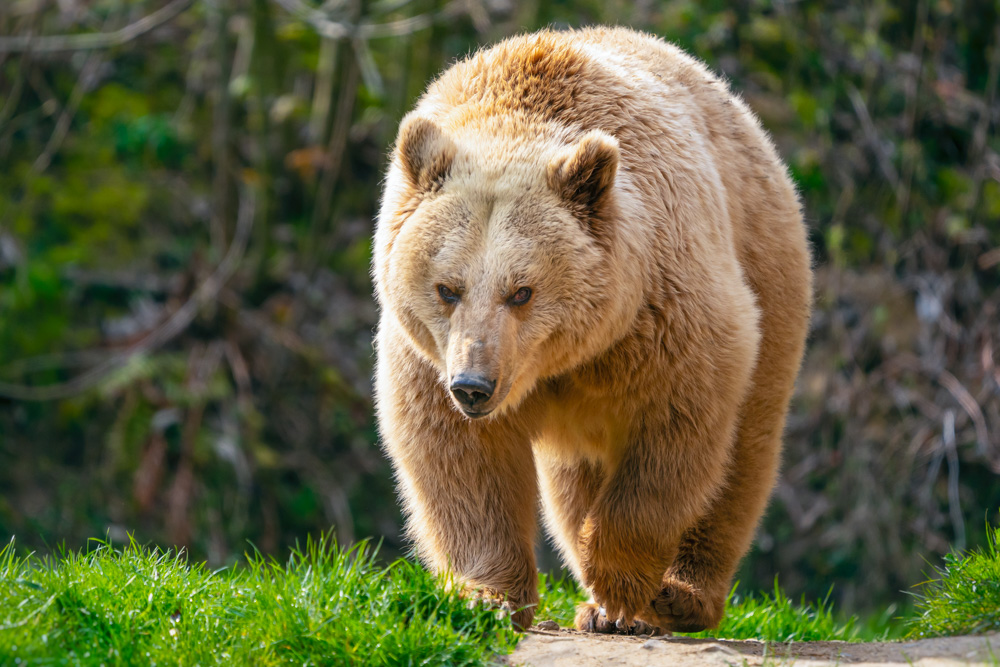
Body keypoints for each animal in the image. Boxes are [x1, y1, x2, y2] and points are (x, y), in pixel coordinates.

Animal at [374, 24, 812, 632]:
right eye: (447, 287)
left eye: (522, 291)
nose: (474, 386)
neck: (565, 359)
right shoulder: (429, 353)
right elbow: (460, 457)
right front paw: (488, 596)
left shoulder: (663, 317)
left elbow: (673, 434)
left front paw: (621, 583)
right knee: (571, 478)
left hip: (768, 268)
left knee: (744, 449)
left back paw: (677, 596)